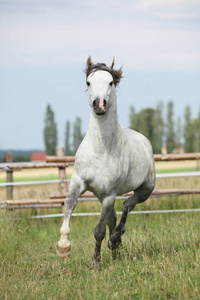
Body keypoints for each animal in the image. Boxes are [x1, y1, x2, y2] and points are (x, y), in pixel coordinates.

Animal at [57, 56, 155, 270]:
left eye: (110, 82)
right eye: (88, 82)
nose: (99, 104)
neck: (100, 149)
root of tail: (144, 140)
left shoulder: (110, 194)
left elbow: (99, 230)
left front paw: (95, 263)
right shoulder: (78, 181)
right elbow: (69, 202)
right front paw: (63, 246)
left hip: (144, 190)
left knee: (127, 205)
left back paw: (116, 239)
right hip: (102, 195)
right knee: (115, 216)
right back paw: (115, 249)